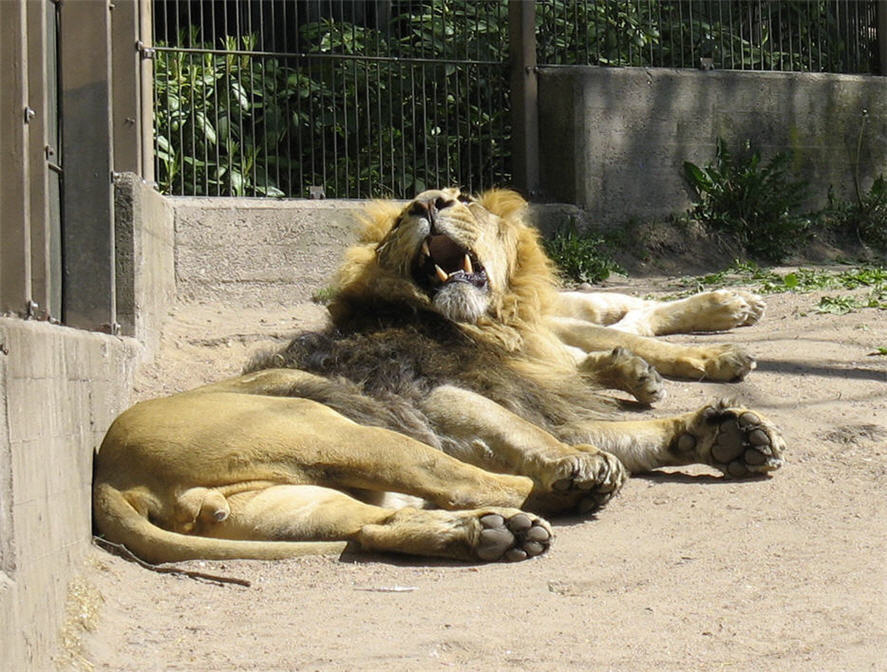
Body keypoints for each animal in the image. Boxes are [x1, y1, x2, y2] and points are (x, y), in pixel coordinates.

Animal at [93, 188, 784, 565]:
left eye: (457, 198)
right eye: (408, 214)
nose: (427, 203)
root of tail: (110, 476)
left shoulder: (531, 390)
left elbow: (627, 429)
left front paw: (725, 435)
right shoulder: (445, 396)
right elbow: (546, 438)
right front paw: (583, 462)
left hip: (288, 506)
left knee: (376, 525)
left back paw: (491, 536)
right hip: (343, 431)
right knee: (486, 481)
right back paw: (544, 502)